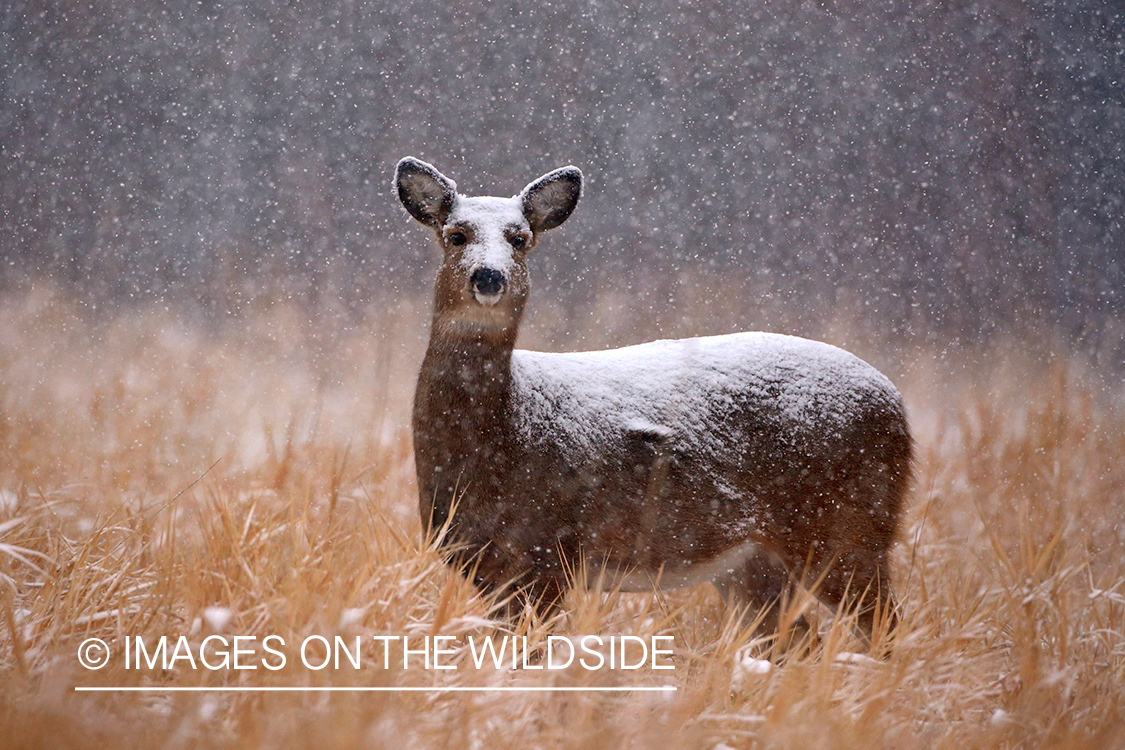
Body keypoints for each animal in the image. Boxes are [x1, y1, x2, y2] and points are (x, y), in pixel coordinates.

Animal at [396, 157, 913, 647]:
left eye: (520, 239)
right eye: (455, 235)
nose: (489, 276)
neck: (506, 433)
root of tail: (897, 404)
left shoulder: (550, 551)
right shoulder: (486, 566)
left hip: (847, 524)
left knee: (884, 628)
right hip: (751, 560)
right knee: (797, 638)